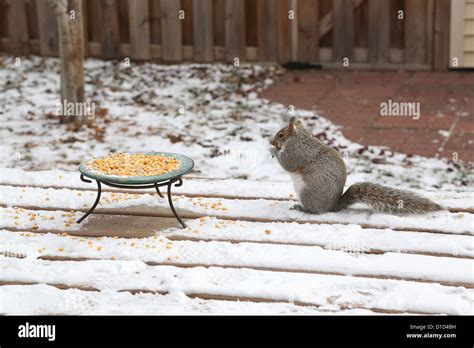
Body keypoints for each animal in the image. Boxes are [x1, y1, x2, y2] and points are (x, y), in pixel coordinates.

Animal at [270, 117, 444, 215]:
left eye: (281, 135)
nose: (271, 141)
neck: (299, 138)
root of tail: (332, 207)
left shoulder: (297, 152)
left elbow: (288, 163)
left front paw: (273, 150)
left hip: (307, 193)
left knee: (315, 211)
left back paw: (302, 208)